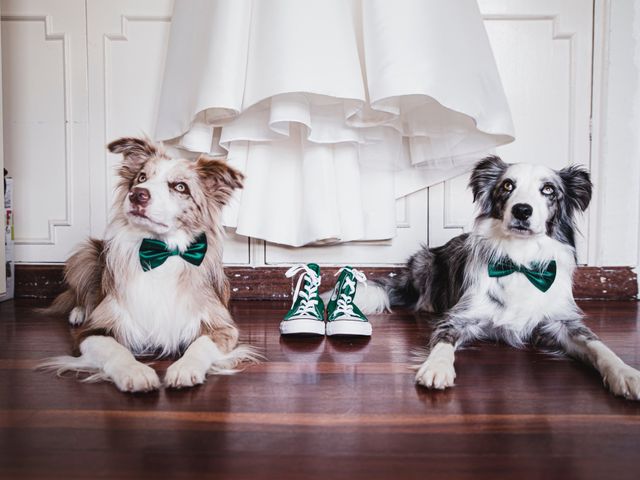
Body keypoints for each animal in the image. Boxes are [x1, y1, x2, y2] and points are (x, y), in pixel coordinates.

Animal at [40, 137, 260, 392]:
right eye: (142, 177)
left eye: (180, 187)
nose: (137, 194)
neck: (162, 252)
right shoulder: (91, 332)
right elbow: (115, 349)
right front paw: (135, 373)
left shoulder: (222, 327)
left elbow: (201, 345)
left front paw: (185, 368)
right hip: (85, 254)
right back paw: (78, 311)